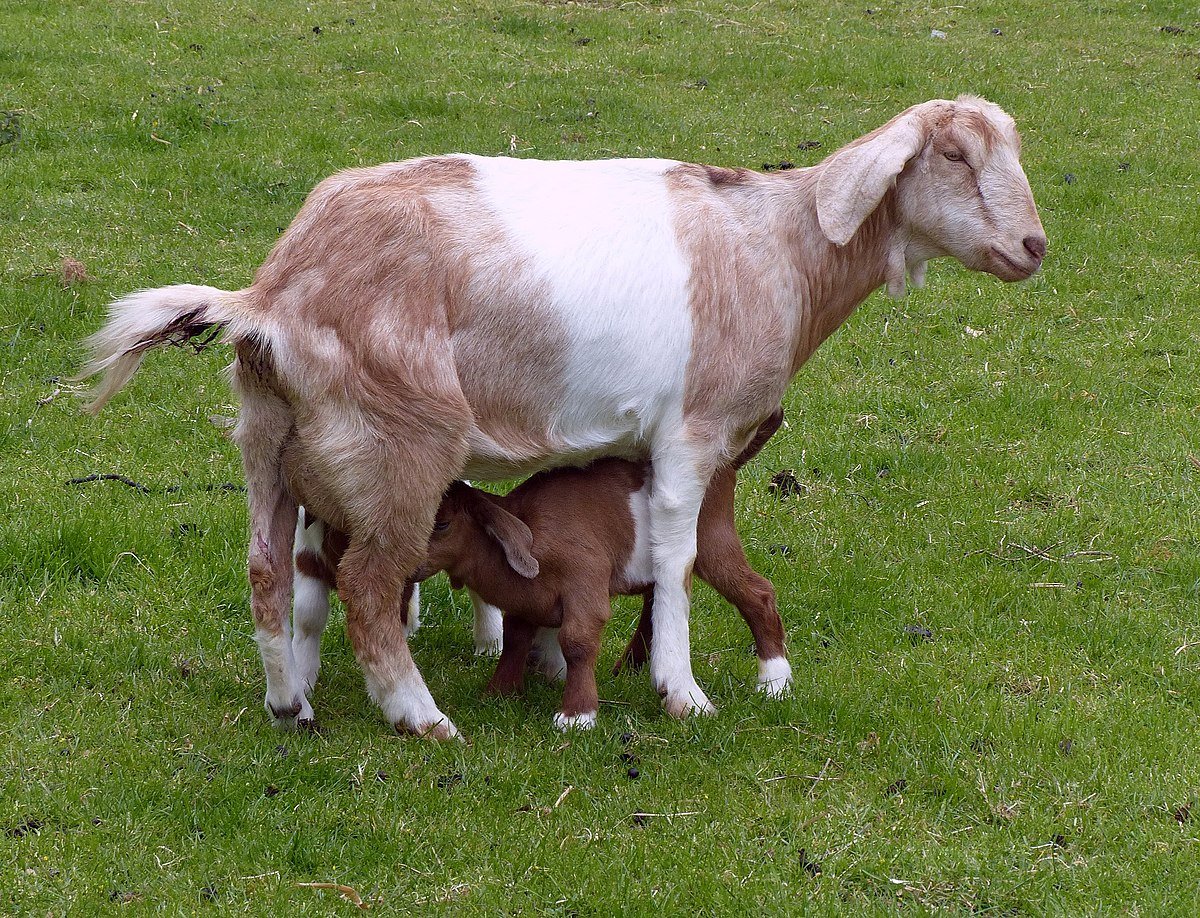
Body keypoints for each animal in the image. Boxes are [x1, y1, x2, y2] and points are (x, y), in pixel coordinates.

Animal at [80, 95, 1045, 739]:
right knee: (367, 585)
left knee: (269, 571)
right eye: (953, 155)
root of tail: (270, 297)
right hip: (398, 442)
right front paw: (680, 692)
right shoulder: (691, 432)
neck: (781, 252)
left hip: (275, 442)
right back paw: (420, 717)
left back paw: (292, 703)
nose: (1033, 247)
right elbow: (677, 557)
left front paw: (545, 659)